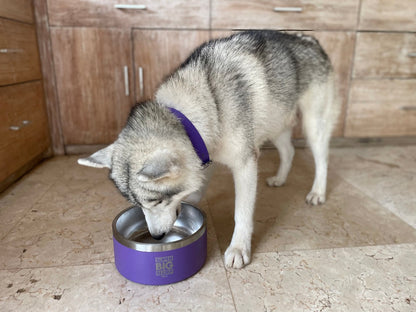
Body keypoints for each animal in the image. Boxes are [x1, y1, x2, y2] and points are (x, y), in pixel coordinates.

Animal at [78, 31, 338, 268]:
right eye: (139, 205)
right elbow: (198, 184)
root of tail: (311, 40)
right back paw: (281, 178)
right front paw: (193, 199)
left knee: (323, 159)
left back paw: (317, 191)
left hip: (313, 125)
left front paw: (238, 248)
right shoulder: (206, 152)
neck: (208, 104)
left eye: (157, 202)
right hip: (275, 124)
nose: (157, 237)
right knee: (289, 151)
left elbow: (241, 213)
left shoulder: (245, 165)